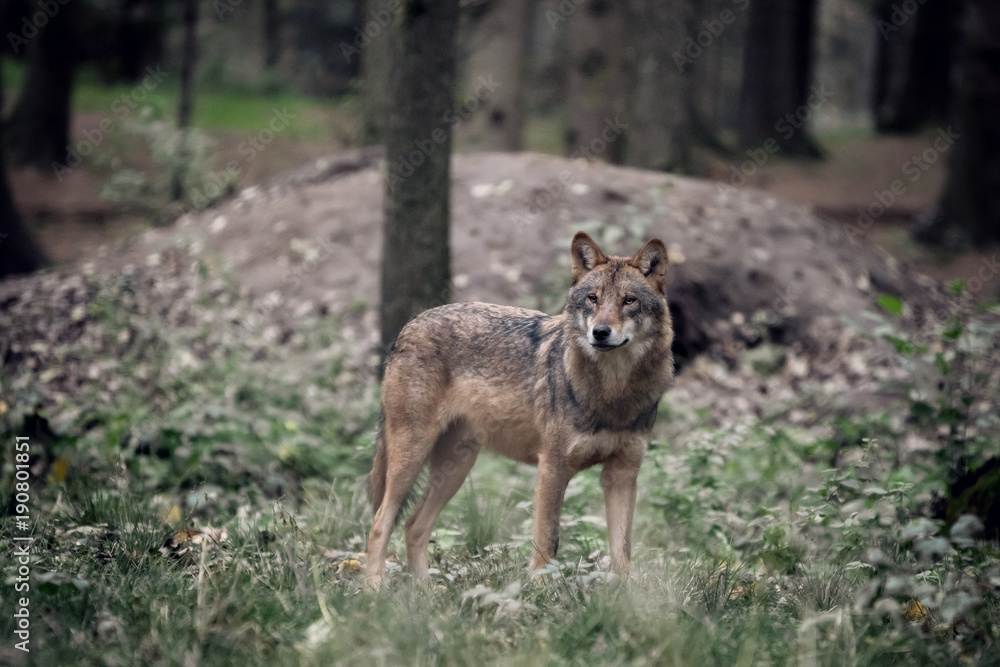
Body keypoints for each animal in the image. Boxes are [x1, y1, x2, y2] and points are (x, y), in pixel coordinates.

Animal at [365, 232, 674, 587]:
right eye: (593, 299)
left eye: (629, 301)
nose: (599, 332)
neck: (614, 393)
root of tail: (409, 324)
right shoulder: (551, 468)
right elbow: (547, 541)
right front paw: (540, 592)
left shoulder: (622, 475)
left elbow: (622, 551)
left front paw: (625, 596)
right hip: (411, 456)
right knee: (380, 521)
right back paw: (374, 590)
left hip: (456, 467)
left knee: (413, 525)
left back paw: (425, 592)